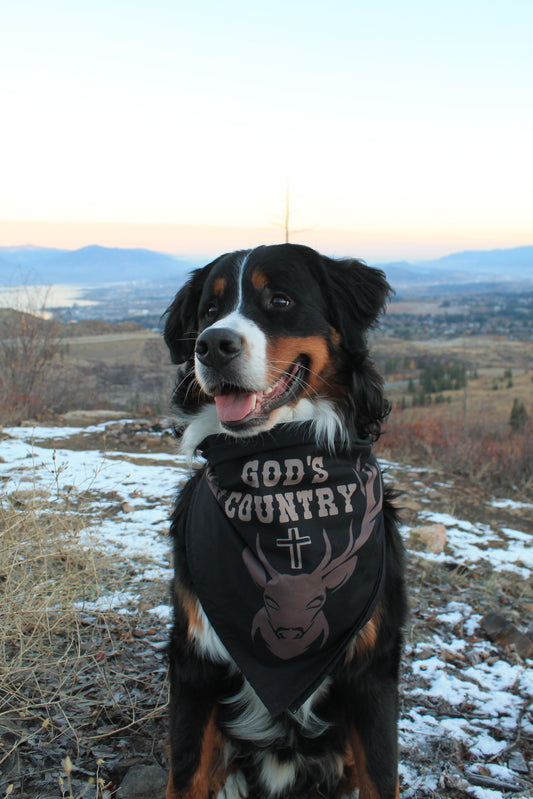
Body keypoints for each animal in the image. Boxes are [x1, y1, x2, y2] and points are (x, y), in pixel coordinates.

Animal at [164, 244, 406, 799]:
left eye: (279, 300)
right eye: (209, 311)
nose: (212, 346)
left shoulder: (372, 669)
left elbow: (381, 775)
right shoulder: (194, 662)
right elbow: (184, 774)